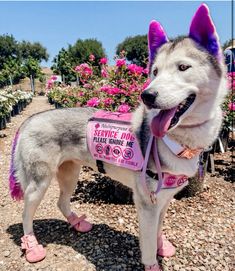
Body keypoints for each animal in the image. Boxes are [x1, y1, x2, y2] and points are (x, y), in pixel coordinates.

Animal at [9, 4, 228, 271]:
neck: (179, 141)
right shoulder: (146, 203)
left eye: (183, 67)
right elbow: (147, 244)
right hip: (39, 182)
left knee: (61, 202)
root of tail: (30, 119)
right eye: (155, 72)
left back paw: (77, 222)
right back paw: (32, 246)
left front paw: (162, 246)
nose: (147, 96)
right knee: (25, 213)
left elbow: (158, 230)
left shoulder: (163, 199)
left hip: (70, 173)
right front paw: (152, 264)